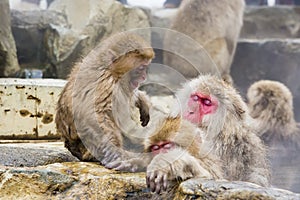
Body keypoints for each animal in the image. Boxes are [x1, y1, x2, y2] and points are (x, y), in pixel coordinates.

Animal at [54, 32, 155, 167]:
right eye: (141, 68)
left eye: (145, 67)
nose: (144, 77)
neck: (111, 70)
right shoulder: (105, 83)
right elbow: (96, 115)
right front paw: (117, 154)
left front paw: (143, 101)